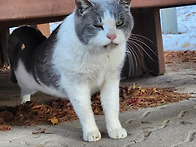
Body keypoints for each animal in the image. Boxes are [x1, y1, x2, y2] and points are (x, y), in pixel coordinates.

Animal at [7, 0, 133, 142]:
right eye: (97, 25)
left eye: (119, 23)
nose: (111, 36)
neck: (101, 55)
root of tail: (34, 43)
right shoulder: (76, 85)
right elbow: (85, 111)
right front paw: (91, 133)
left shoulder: (111, 80)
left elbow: (112, 106)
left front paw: (115, 130)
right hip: (26, 80)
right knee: (24, 90)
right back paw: (24, 103)